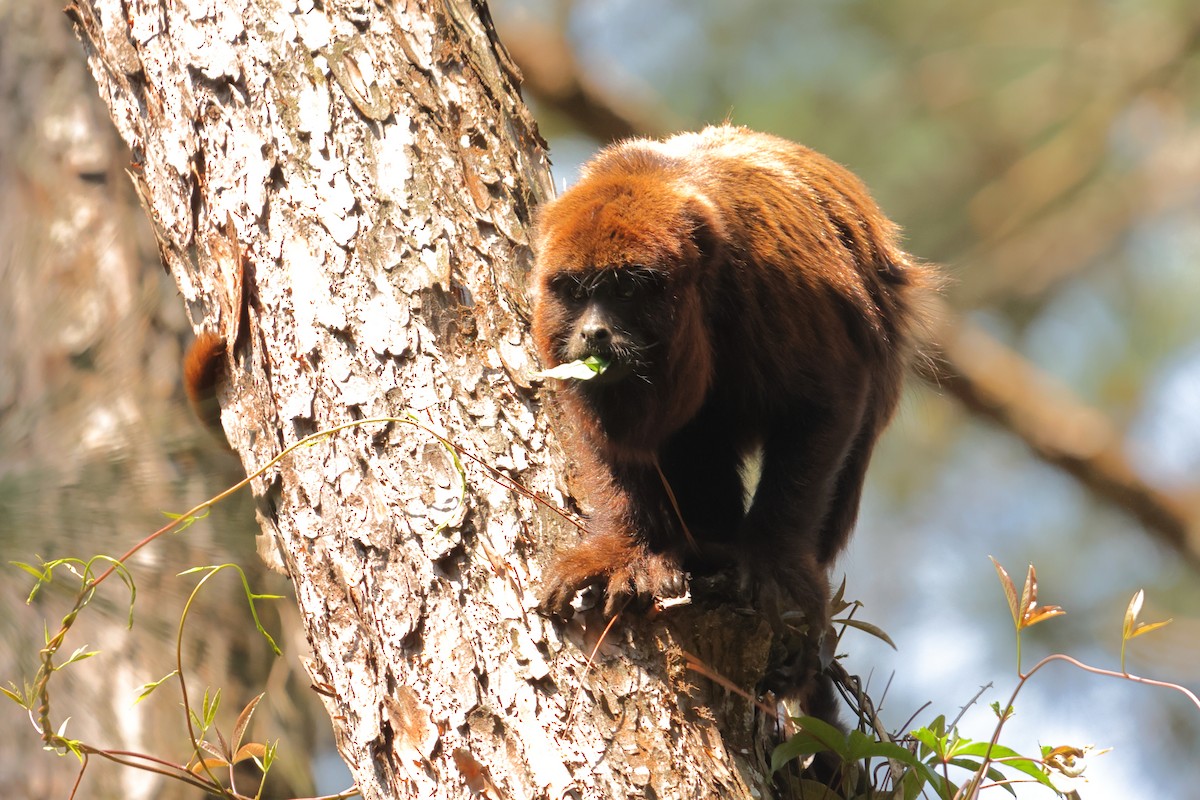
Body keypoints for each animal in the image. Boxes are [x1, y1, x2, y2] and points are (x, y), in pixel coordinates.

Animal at [530, 125, 934, 696]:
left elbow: (825, 400)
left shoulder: (779, 284)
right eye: (573, 290)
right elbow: (602, 434)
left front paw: (771, 563)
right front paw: (622, 550)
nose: (593, 332)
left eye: (626, 287)